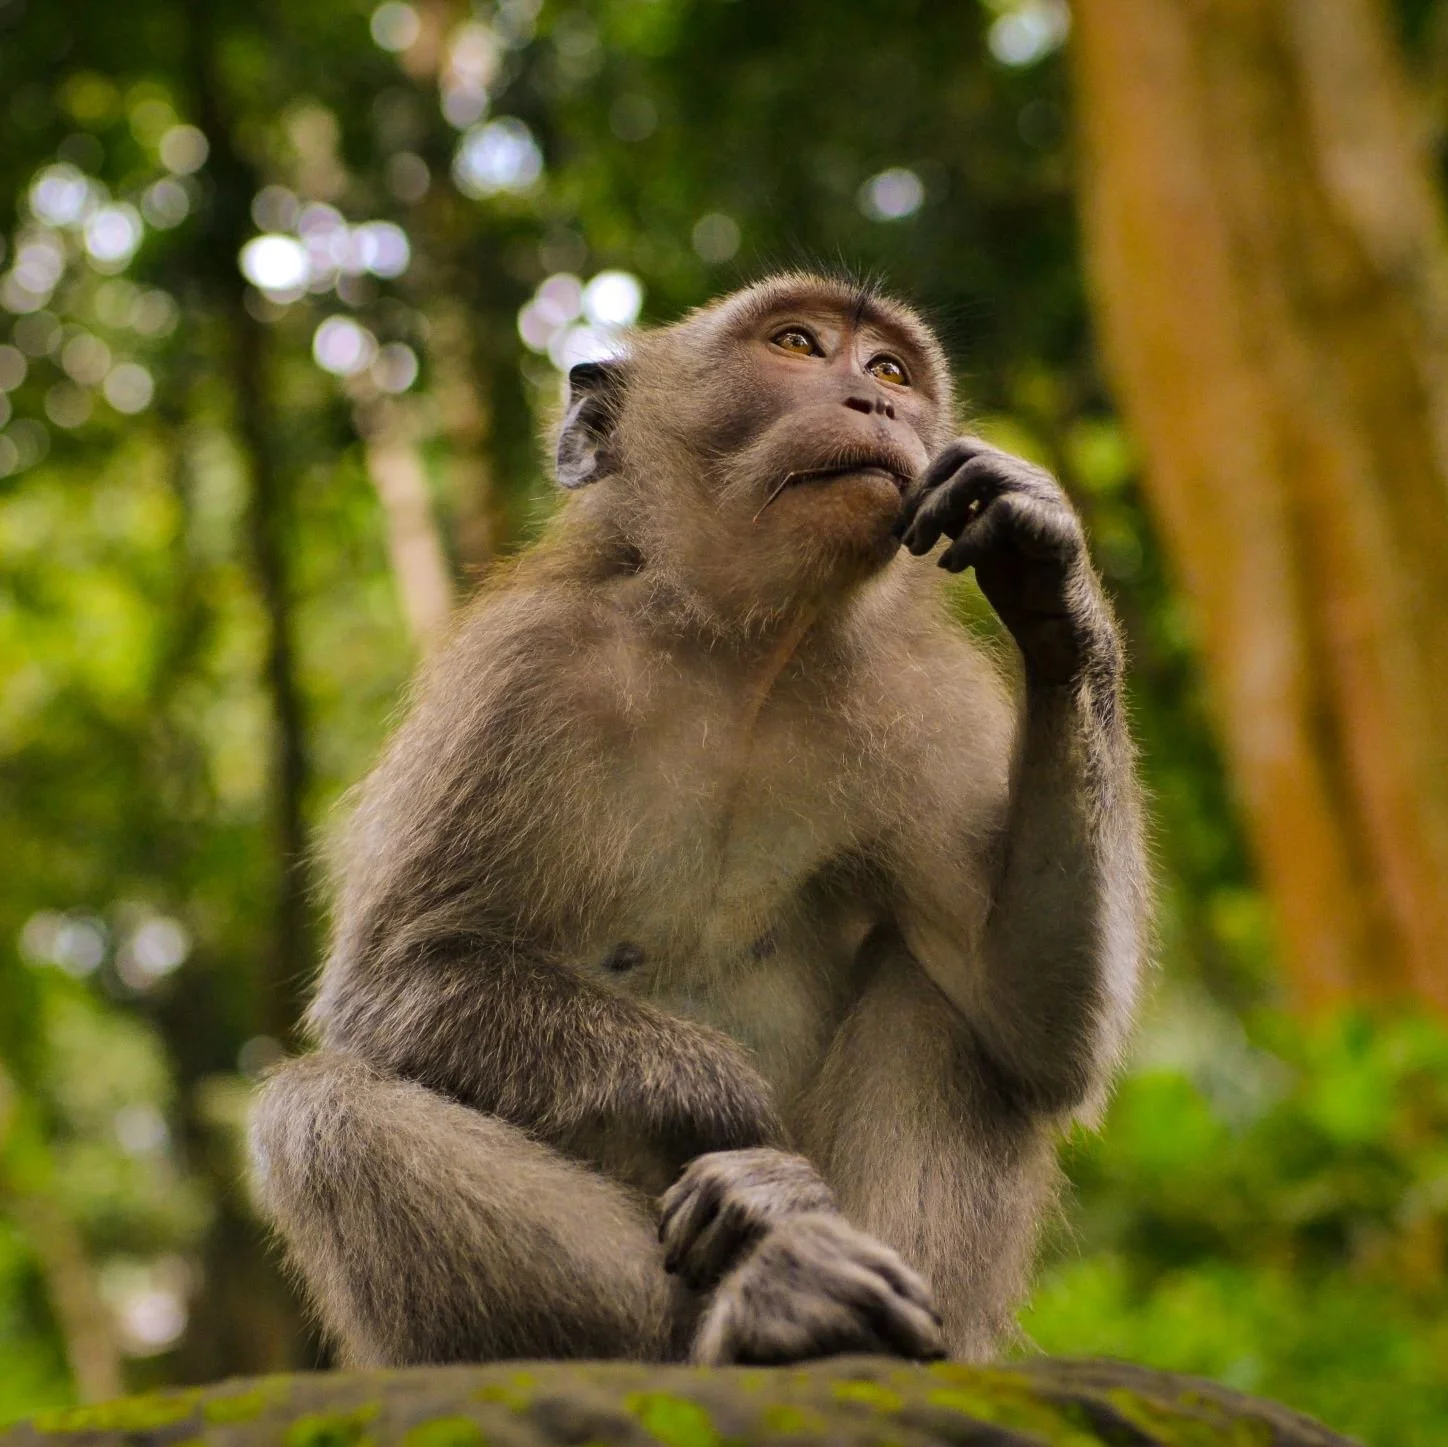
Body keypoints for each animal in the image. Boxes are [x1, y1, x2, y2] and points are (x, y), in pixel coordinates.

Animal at [249, 272, 1148, 1369]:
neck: (742, 655)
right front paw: (744, 1125)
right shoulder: (517, 675)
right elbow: (393, 979)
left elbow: (1031, 1021)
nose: (876, 403)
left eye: (891, 369)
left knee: (944, 1001)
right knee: (320, 1112)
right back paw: (768, 1299)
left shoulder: (925, 704)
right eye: (797, 346)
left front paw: (1048, 571)